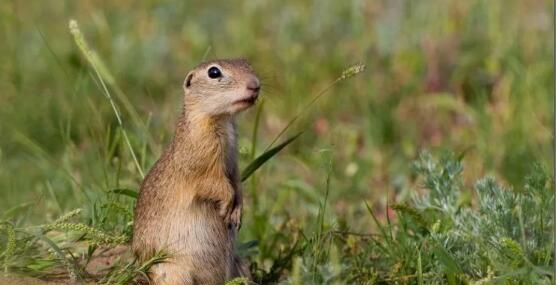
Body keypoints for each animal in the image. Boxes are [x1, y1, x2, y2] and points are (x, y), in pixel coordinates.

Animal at [132, 58, 260, 282]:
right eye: (214, 72)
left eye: (247, 63)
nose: (256, 85)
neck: (221, 120)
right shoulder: (201, 161)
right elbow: (214, 183)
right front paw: (227, 207)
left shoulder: (233, 160)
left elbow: (236, 182)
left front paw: (238, 212)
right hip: (175, 273)